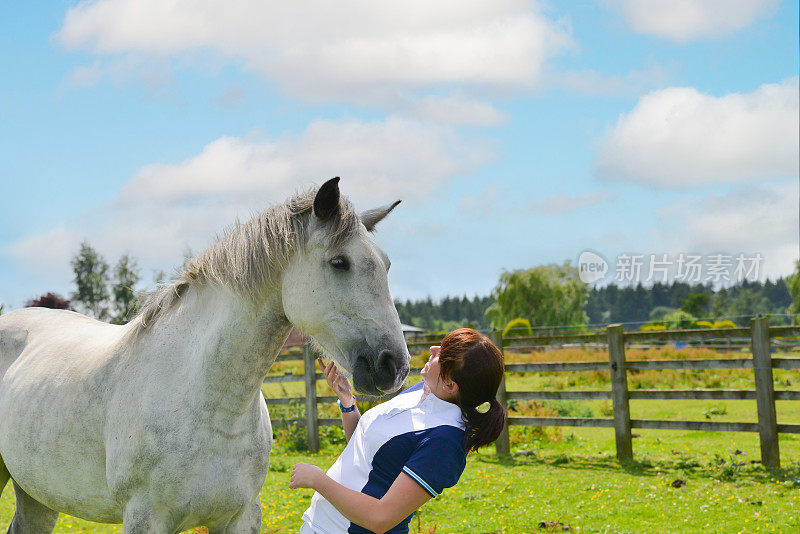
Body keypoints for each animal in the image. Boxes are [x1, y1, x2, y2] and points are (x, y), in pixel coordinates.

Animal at [0, 178, 412, 532]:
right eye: (339, 262)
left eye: (387, 264)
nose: (393, 365)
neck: (205, 401)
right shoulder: (145, 518)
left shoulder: (241, 516)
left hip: (37, 494)